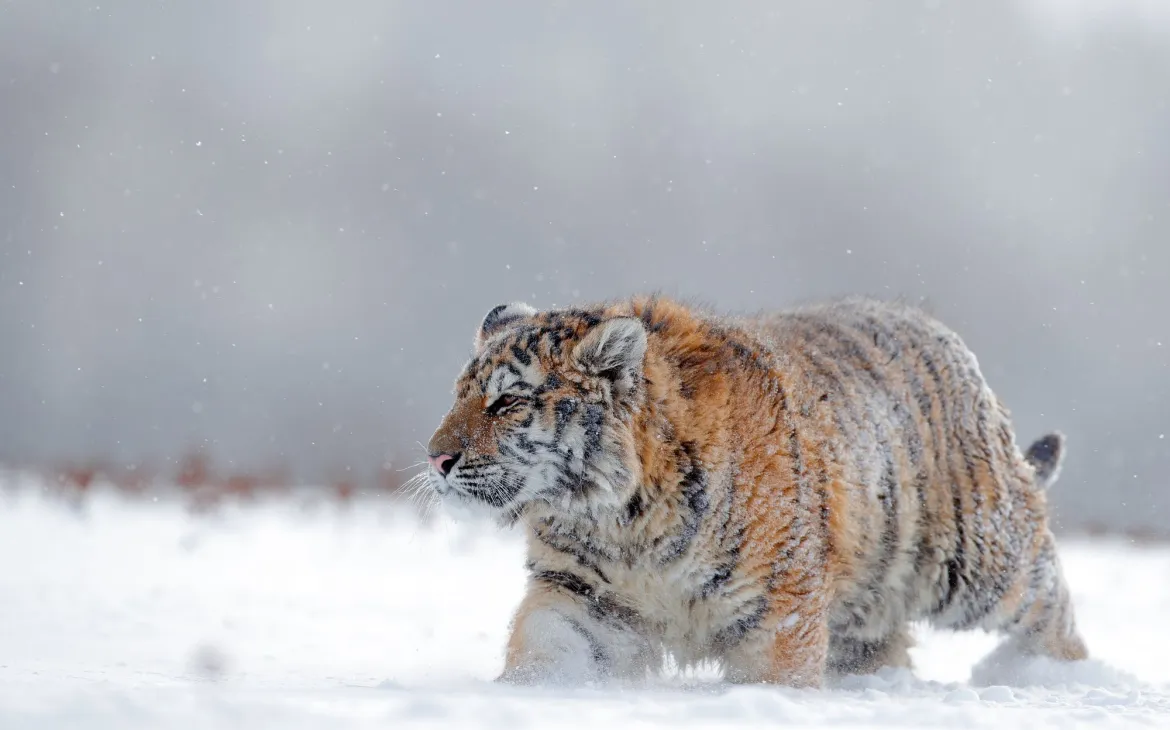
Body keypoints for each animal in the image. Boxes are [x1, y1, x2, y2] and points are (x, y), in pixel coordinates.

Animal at [423, 295, 1088, 688]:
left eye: (507, 402)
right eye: (458, 394)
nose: (436, 458)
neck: (619, 521)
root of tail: (947, 337)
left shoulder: (779, 611)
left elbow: (776, 680)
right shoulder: (582, 593)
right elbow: (545, 650)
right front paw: (520, 696)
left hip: (978, 561)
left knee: (1049, 594)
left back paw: (1055, 677)